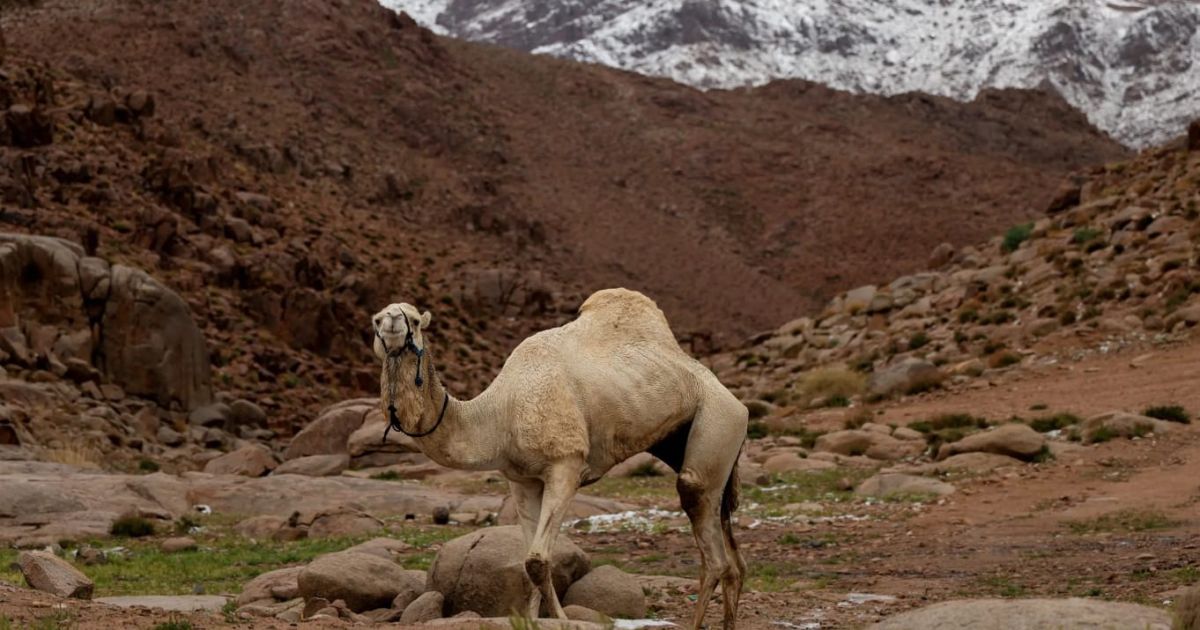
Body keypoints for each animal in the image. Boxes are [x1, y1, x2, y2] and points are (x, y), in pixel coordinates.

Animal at [372, 288, 748, 628]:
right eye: (375, 319)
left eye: (414, 319)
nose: (391, 321)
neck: (500, 413)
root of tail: (736, 401)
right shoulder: (521, 478)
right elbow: (525, 562)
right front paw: (531, 618)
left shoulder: (566, 465)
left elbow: (538, 560)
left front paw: (563, 619)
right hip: (684, 442)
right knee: (732, 555)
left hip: (719, 418)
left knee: (705, 527)